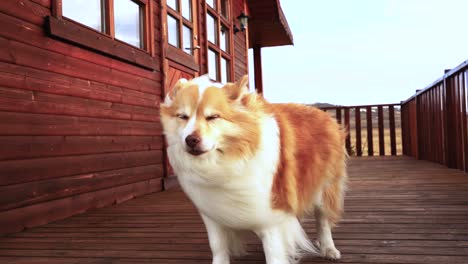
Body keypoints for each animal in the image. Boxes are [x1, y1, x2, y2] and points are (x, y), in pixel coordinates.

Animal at [161, 75, 348, 264]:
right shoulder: (212, 214)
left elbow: (274, 254)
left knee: (323, 221)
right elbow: (218, 246)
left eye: (213, 117)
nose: (191, 140)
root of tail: (323, 113)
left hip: (325, 188)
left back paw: (329, 249)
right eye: (182, 117)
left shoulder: (271, 218)